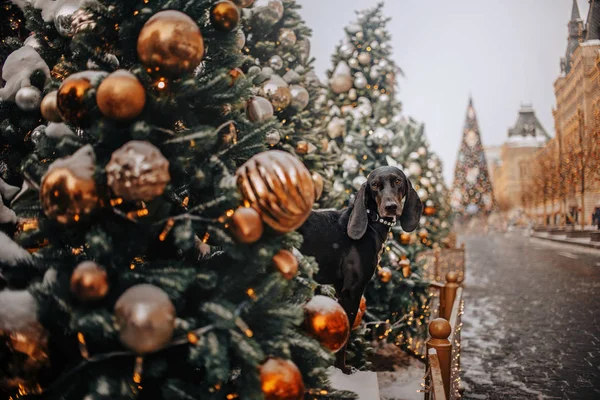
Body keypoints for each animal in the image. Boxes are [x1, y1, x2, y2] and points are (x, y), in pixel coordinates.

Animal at [298, 166, 422, 372]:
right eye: (374, 185)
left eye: (398, 181)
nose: (390, 207)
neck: (371, 223)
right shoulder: (352, 291)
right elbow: (345, 334)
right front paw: (342, 369)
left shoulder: (340, 289)